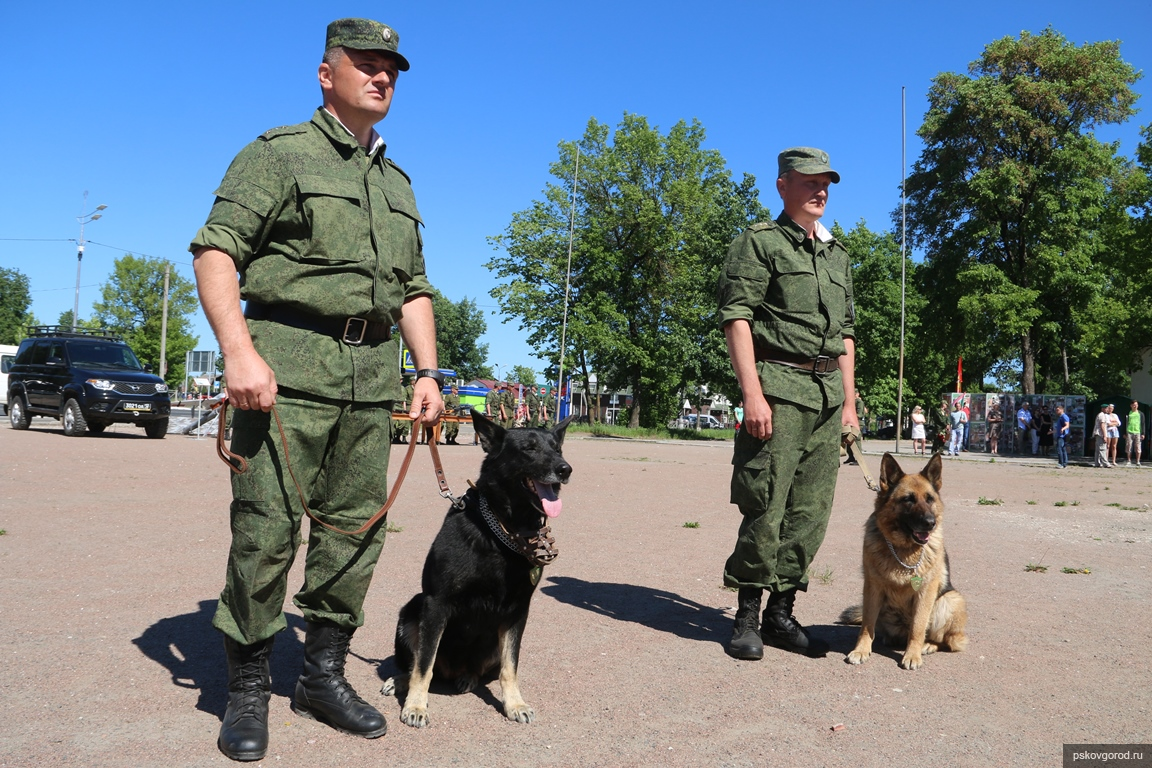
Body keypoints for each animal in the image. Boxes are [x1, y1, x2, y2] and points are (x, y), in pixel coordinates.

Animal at [382, 407, 571, 727]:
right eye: (529, 448)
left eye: (557, 448)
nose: (565, 469)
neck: (503, 530)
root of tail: (452, 671)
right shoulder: (436, 603)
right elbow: (423, 665)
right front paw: (416, 706)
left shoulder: (517, 612)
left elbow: (510, 667)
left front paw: (514, 703)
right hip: (412, 610)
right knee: (418, 662)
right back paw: (400, 681)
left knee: (478, 669)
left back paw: (468, 677)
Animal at [843, 453, 967, 667]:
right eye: (908, 499)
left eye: (929, 499)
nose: (930, 523)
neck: (904, 549)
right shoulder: (872, 588)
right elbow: (867, 625)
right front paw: (861, 650)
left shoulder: (925, 592)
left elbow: (917, 627)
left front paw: (912, 655)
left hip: (950, 600)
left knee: (946, 640)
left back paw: (928, 645)